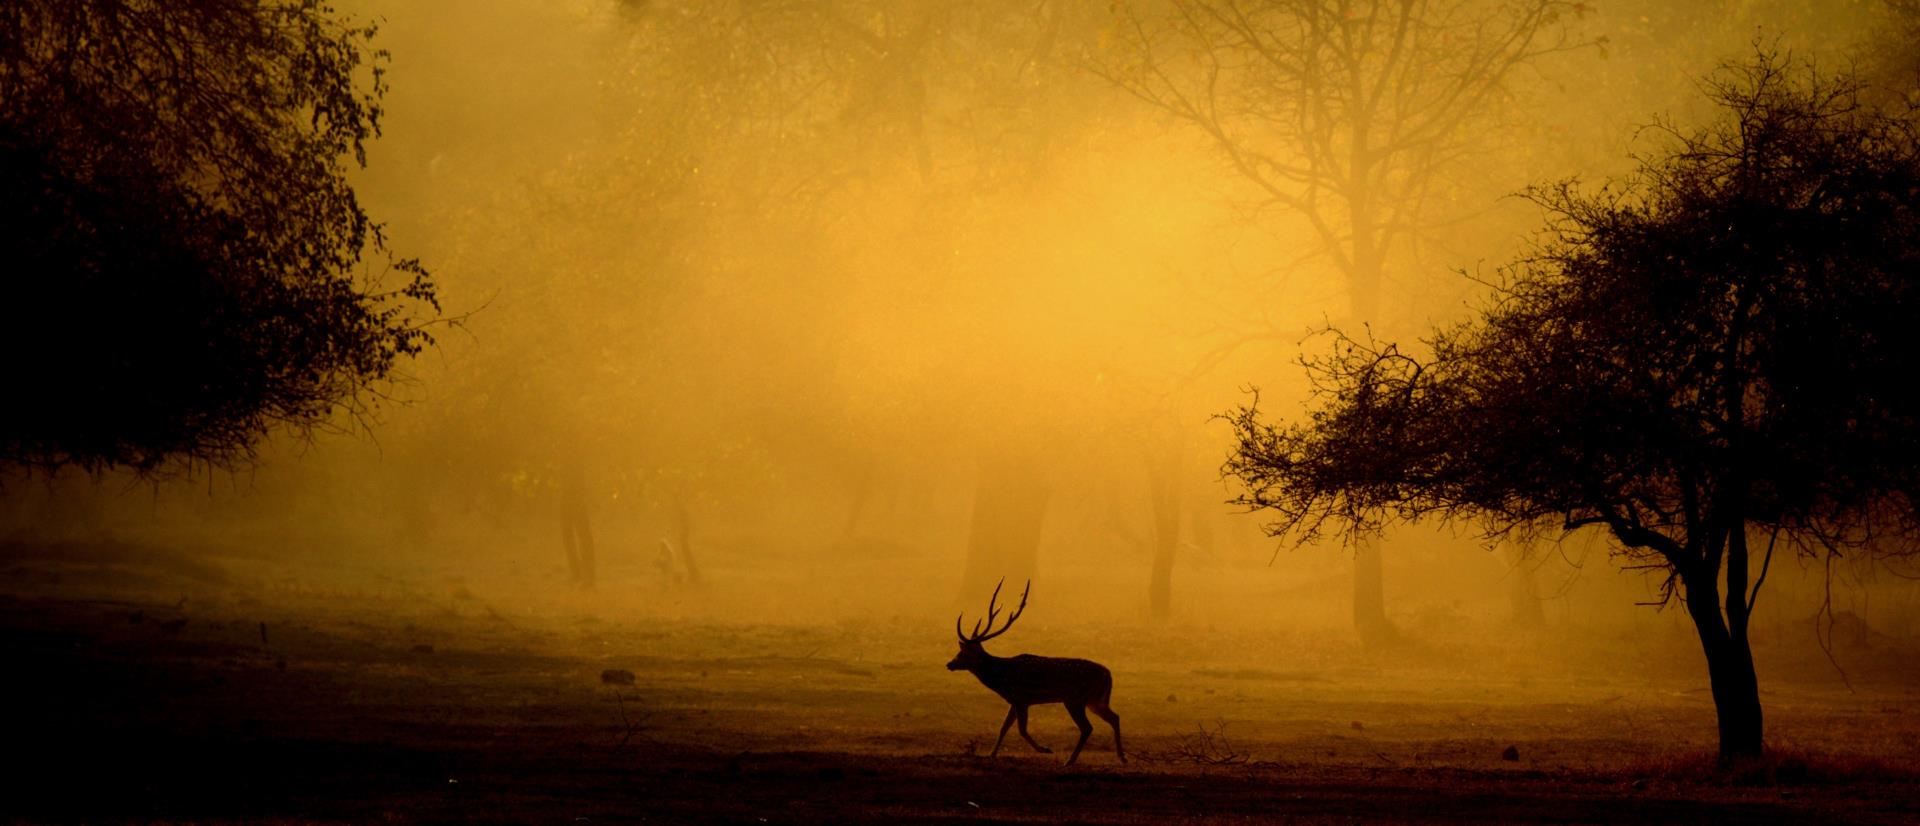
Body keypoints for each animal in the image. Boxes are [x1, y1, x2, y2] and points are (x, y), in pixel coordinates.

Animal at [948, 576, 1121, 764]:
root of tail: (1108, 674)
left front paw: (1045, 749)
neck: (1002, 678)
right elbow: (1004, 727)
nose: (949, 664)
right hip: (1095, 700)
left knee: (1087, 727)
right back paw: (1122, 757)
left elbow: (1021, 730)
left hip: (1075, 699)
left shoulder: (1021, 698)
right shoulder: (1014, 701)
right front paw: (991, 754)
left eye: (963, 653)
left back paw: (1070, 760)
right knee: (1114, 717)